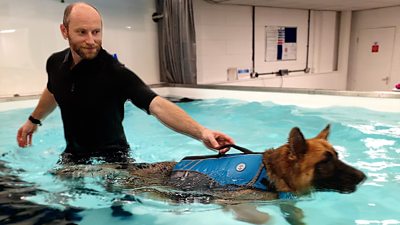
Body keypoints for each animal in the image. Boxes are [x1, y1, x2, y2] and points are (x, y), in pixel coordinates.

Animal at [54, 125, 368, 224]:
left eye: (337, 155)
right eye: (326, 162)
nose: (364, 178)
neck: (271, 171)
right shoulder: (241, 203)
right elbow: (264, 218)